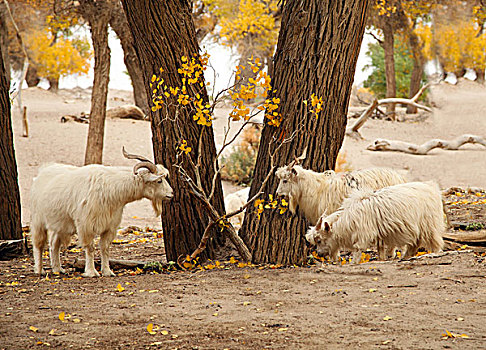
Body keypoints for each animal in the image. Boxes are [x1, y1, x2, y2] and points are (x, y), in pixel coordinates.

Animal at [31, 149, 174, 278]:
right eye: (159, 181)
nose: (171, 194)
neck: (111, 188)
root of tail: (41, 174)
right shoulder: (86, 225)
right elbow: (90, 247)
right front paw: (91, 272)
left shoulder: (110, 226)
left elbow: (105, 248)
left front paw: (107, 272)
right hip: (38, 220)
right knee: (39, 244)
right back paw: (39, 270)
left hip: (61, 223)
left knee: (54, 243)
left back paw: (57, 269)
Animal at [306, 182, 446, 264]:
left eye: (319, 240)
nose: (319, 254)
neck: (348, 218)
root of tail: (432, 188)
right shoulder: (380, 236)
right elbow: (380, 251)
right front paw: (382, 259)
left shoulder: (363, 235)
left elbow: (358, 250)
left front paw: (353, 263)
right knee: (415, 244)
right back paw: (405, 257)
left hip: (429, 224)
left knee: (435, 242)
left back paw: (434, 254)